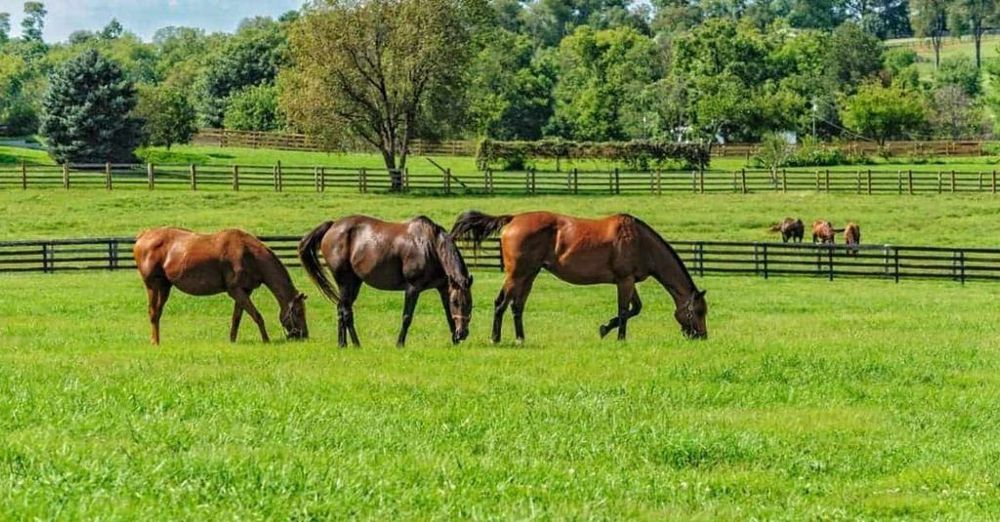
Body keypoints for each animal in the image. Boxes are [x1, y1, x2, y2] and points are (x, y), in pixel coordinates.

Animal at [133, 228, 308, 345]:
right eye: (299, 312)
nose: (304, 335)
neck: (249, 254)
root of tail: (144, 236)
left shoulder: (244, 291)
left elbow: (237, 318)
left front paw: (232, 340)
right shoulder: (235, 290)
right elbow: (257, 315)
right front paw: (266, 340)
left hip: (165, 287)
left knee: (158, 313)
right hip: (152, 285)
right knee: (153, 312)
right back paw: (155, 342)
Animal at [297, 216, 473, 348]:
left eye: (470, 303)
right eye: (456, 302)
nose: (463, 334)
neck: (430, 247)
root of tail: (332, 226)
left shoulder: (443, 288)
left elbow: (449, 315)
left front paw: (454, 341)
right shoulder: (412, 289)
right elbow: (407, 317)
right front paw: (400, 343)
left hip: (354, 283)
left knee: (341, 309)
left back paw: (342, 344)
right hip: (345, 281)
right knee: (346, 312)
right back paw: (356, 344)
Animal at [451, 211, 707, 343]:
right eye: (699, 311)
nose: (702, 336)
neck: (640, 241)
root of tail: (513, 218)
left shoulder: (629, 281)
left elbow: (635, 309)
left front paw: (605, 328)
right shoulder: (624, 281)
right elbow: (625, 310)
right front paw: (619, 337)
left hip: (529, 275)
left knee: (517, 306)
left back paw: (520, 338)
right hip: (517, 274)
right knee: (501, 303)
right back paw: (495, 338)